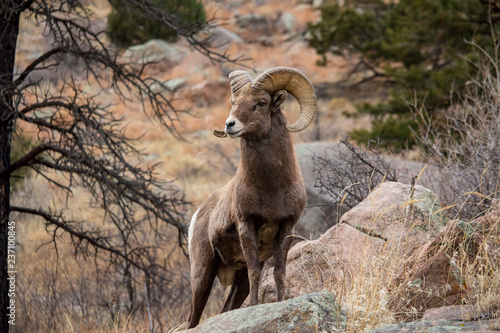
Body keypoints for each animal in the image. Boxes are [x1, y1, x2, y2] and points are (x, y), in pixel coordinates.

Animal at [188, 65, 316, 326]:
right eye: (234, 101)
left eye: (261, 103)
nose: (230, 124)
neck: (271, 188)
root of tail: (199, 213)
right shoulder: (247, 226)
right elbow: (256, 271)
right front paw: (256, 308)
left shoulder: (286, 229)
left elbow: (279, 272)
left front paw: (280, 303)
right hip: (202, 273)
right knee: (192, 319)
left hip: (236, 279)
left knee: (226, 309)